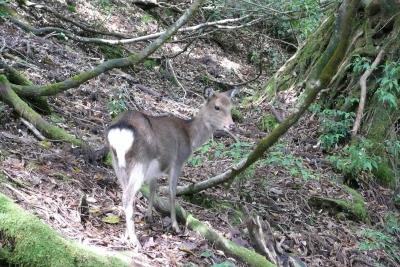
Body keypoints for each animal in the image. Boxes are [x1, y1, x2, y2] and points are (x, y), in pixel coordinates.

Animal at [106, 88, 238, 249]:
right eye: (217, 107)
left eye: (231, 107)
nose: (231, 125)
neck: (190, 137)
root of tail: (120, 130)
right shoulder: (178, 161)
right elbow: (172, 192)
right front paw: (175, 226)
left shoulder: (155, 170)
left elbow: (153, 189)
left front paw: (149, 216)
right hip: (140, 161)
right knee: (127, 196)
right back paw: (136, 241)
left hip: (117, 162)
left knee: (125, 193)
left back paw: (126, 236)